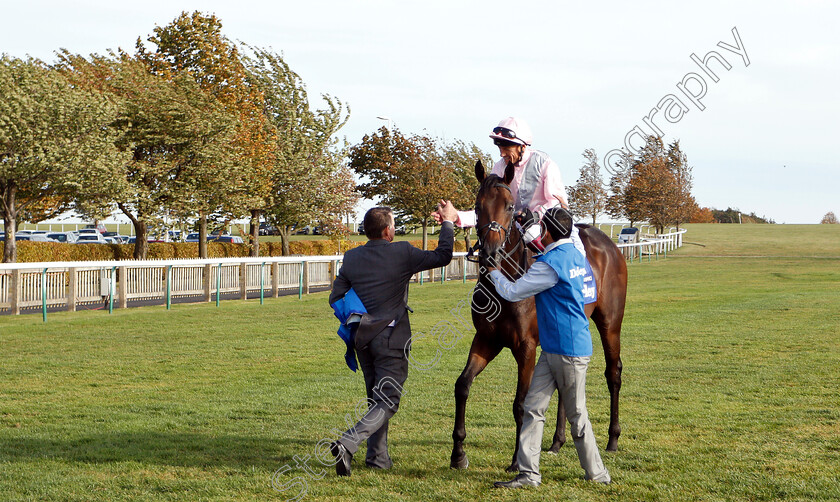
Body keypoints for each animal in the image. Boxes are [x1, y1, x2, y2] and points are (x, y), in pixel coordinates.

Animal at [452, 163, 624, 472]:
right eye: (477, 207)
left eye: (510, 207)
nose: (490, 254)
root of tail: (608, 244)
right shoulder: (486, 340)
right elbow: (462, 386)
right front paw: (458, 453)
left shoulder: (526, 347)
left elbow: (521, 402)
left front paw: (516, 461)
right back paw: (557, 441)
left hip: (610, 324)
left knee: (613, 373)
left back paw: (613, 438)